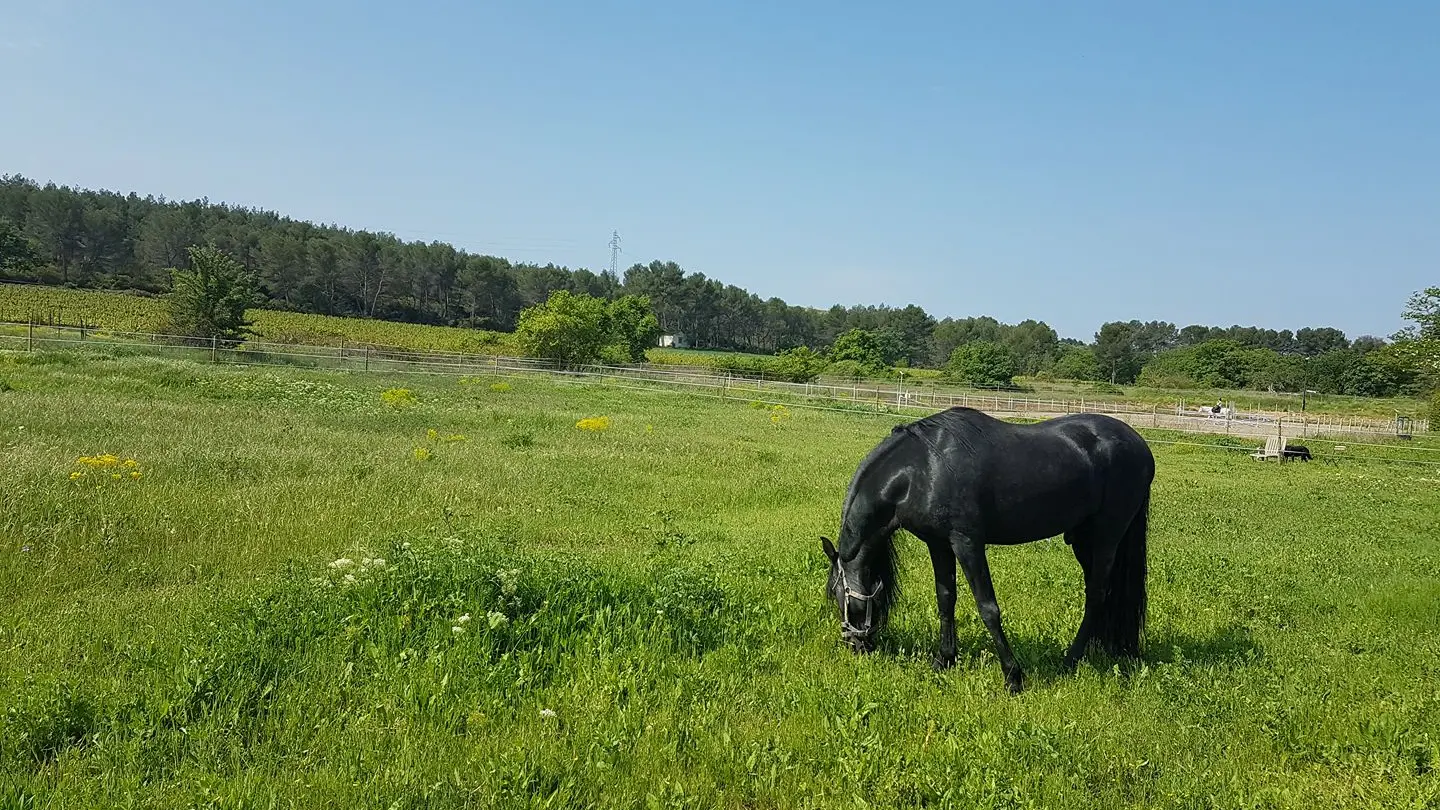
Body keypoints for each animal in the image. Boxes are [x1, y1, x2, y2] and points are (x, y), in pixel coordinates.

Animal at [829, 406, 1152, 691]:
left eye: (838, 597)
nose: (855, 645)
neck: (922, 469)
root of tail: (1141, 447)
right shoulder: (938, 544)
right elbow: (945, 599)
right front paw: (944, 660)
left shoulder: (967, 543)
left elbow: (988, 608)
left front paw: (1013, 677)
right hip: (1084, 540)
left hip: (1107, 536)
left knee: (1096, 595)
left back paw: (1070, 660)